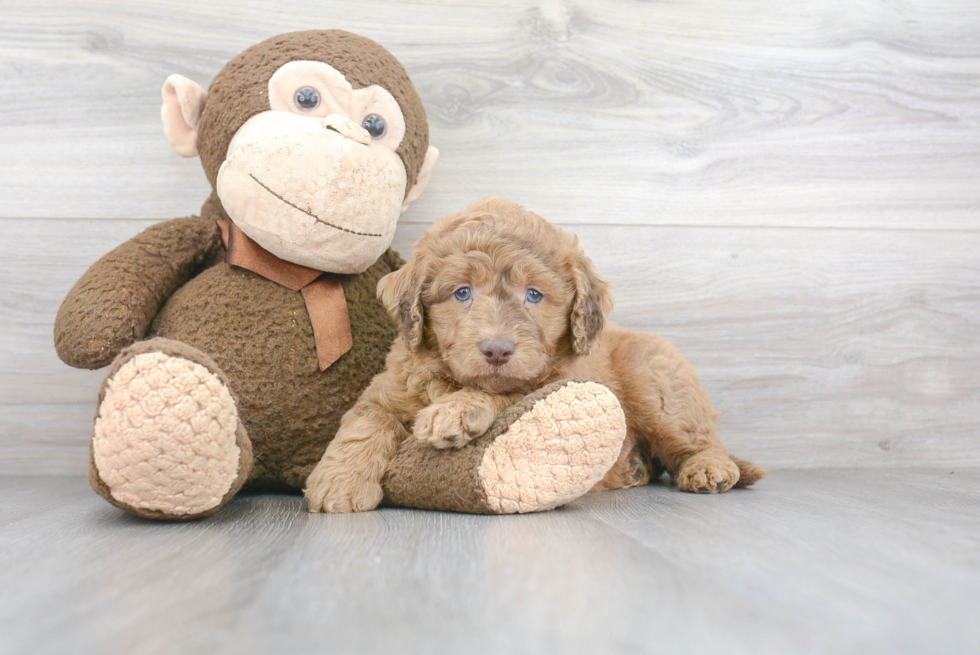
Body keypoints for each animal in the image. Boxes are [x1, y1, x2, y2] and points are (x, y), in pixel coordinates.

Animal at [306, 197, 764, 516]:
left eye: (534, 295)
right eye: (462, 293)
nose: (497, 349)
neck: (450, 378)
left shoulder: (550, 379)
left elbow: (506, 392)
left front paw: (454, 412)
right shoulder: (388, 387)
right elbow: (366, 422)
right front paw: (339, 484)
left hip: (658, 386)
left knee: (698, 439)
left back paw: (709, 470)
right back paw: (635, 468)